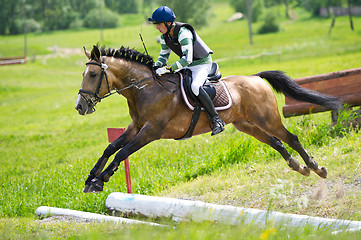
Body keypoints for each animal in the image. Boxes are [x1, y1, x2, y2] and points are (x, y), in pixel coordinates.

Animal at [75, 45, 340, 193]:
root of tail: (255, 78)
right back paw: (298, 167)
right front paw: (90, 179)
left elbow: (123, 152)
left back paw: (316, 167)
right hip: (247, 125)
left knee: (291, 138)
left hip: (267, 119)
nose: (79, 106)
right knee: (276, 142)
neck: (145, 88)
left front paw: (101, 180)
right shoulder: (136, 127)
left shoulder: (150, 131)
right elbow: (111, 147)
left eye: (93, 74)